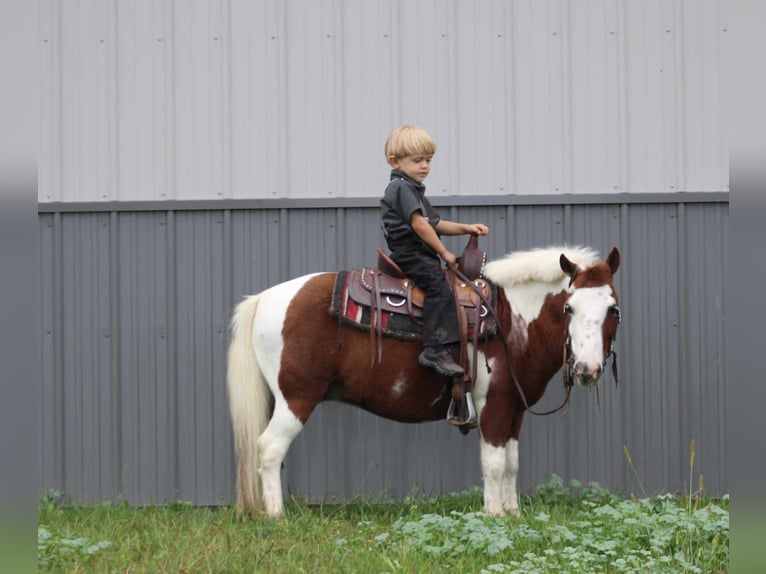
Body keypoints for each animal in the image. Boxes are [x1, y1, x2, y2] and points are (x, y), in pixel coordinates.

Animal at [225, 245, 620, 520]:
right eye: (569, 308)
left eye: (613, 309)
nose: (587, 369)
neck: (512, 319)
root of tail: (263, 300)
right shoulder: (492, 405)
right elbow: (493, 462)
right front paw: (494, 515)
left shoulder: (514, 408)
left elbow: (511, 462)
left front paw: (513, 513)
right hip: (296, 398)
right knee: (269, 449)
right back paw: (277, 516)